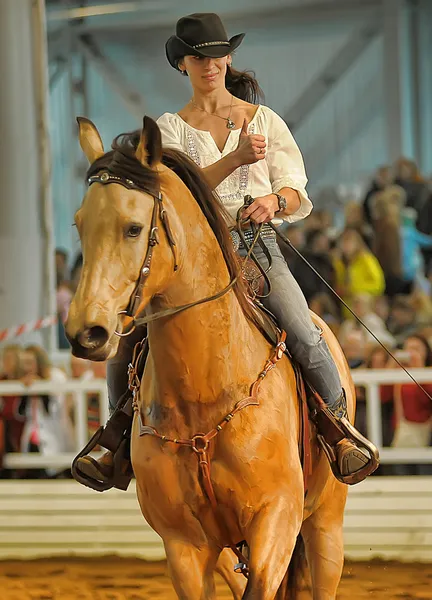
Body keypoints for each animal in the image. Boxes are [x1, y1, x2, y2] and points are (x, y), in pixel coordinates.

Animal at [66, 117, 352, 600]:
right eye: (79, 225)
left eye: (133, 228)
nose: (86, 331)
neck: (204, 392)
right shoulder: (184, 545)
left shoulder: (276, 519)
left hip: (325, 526)